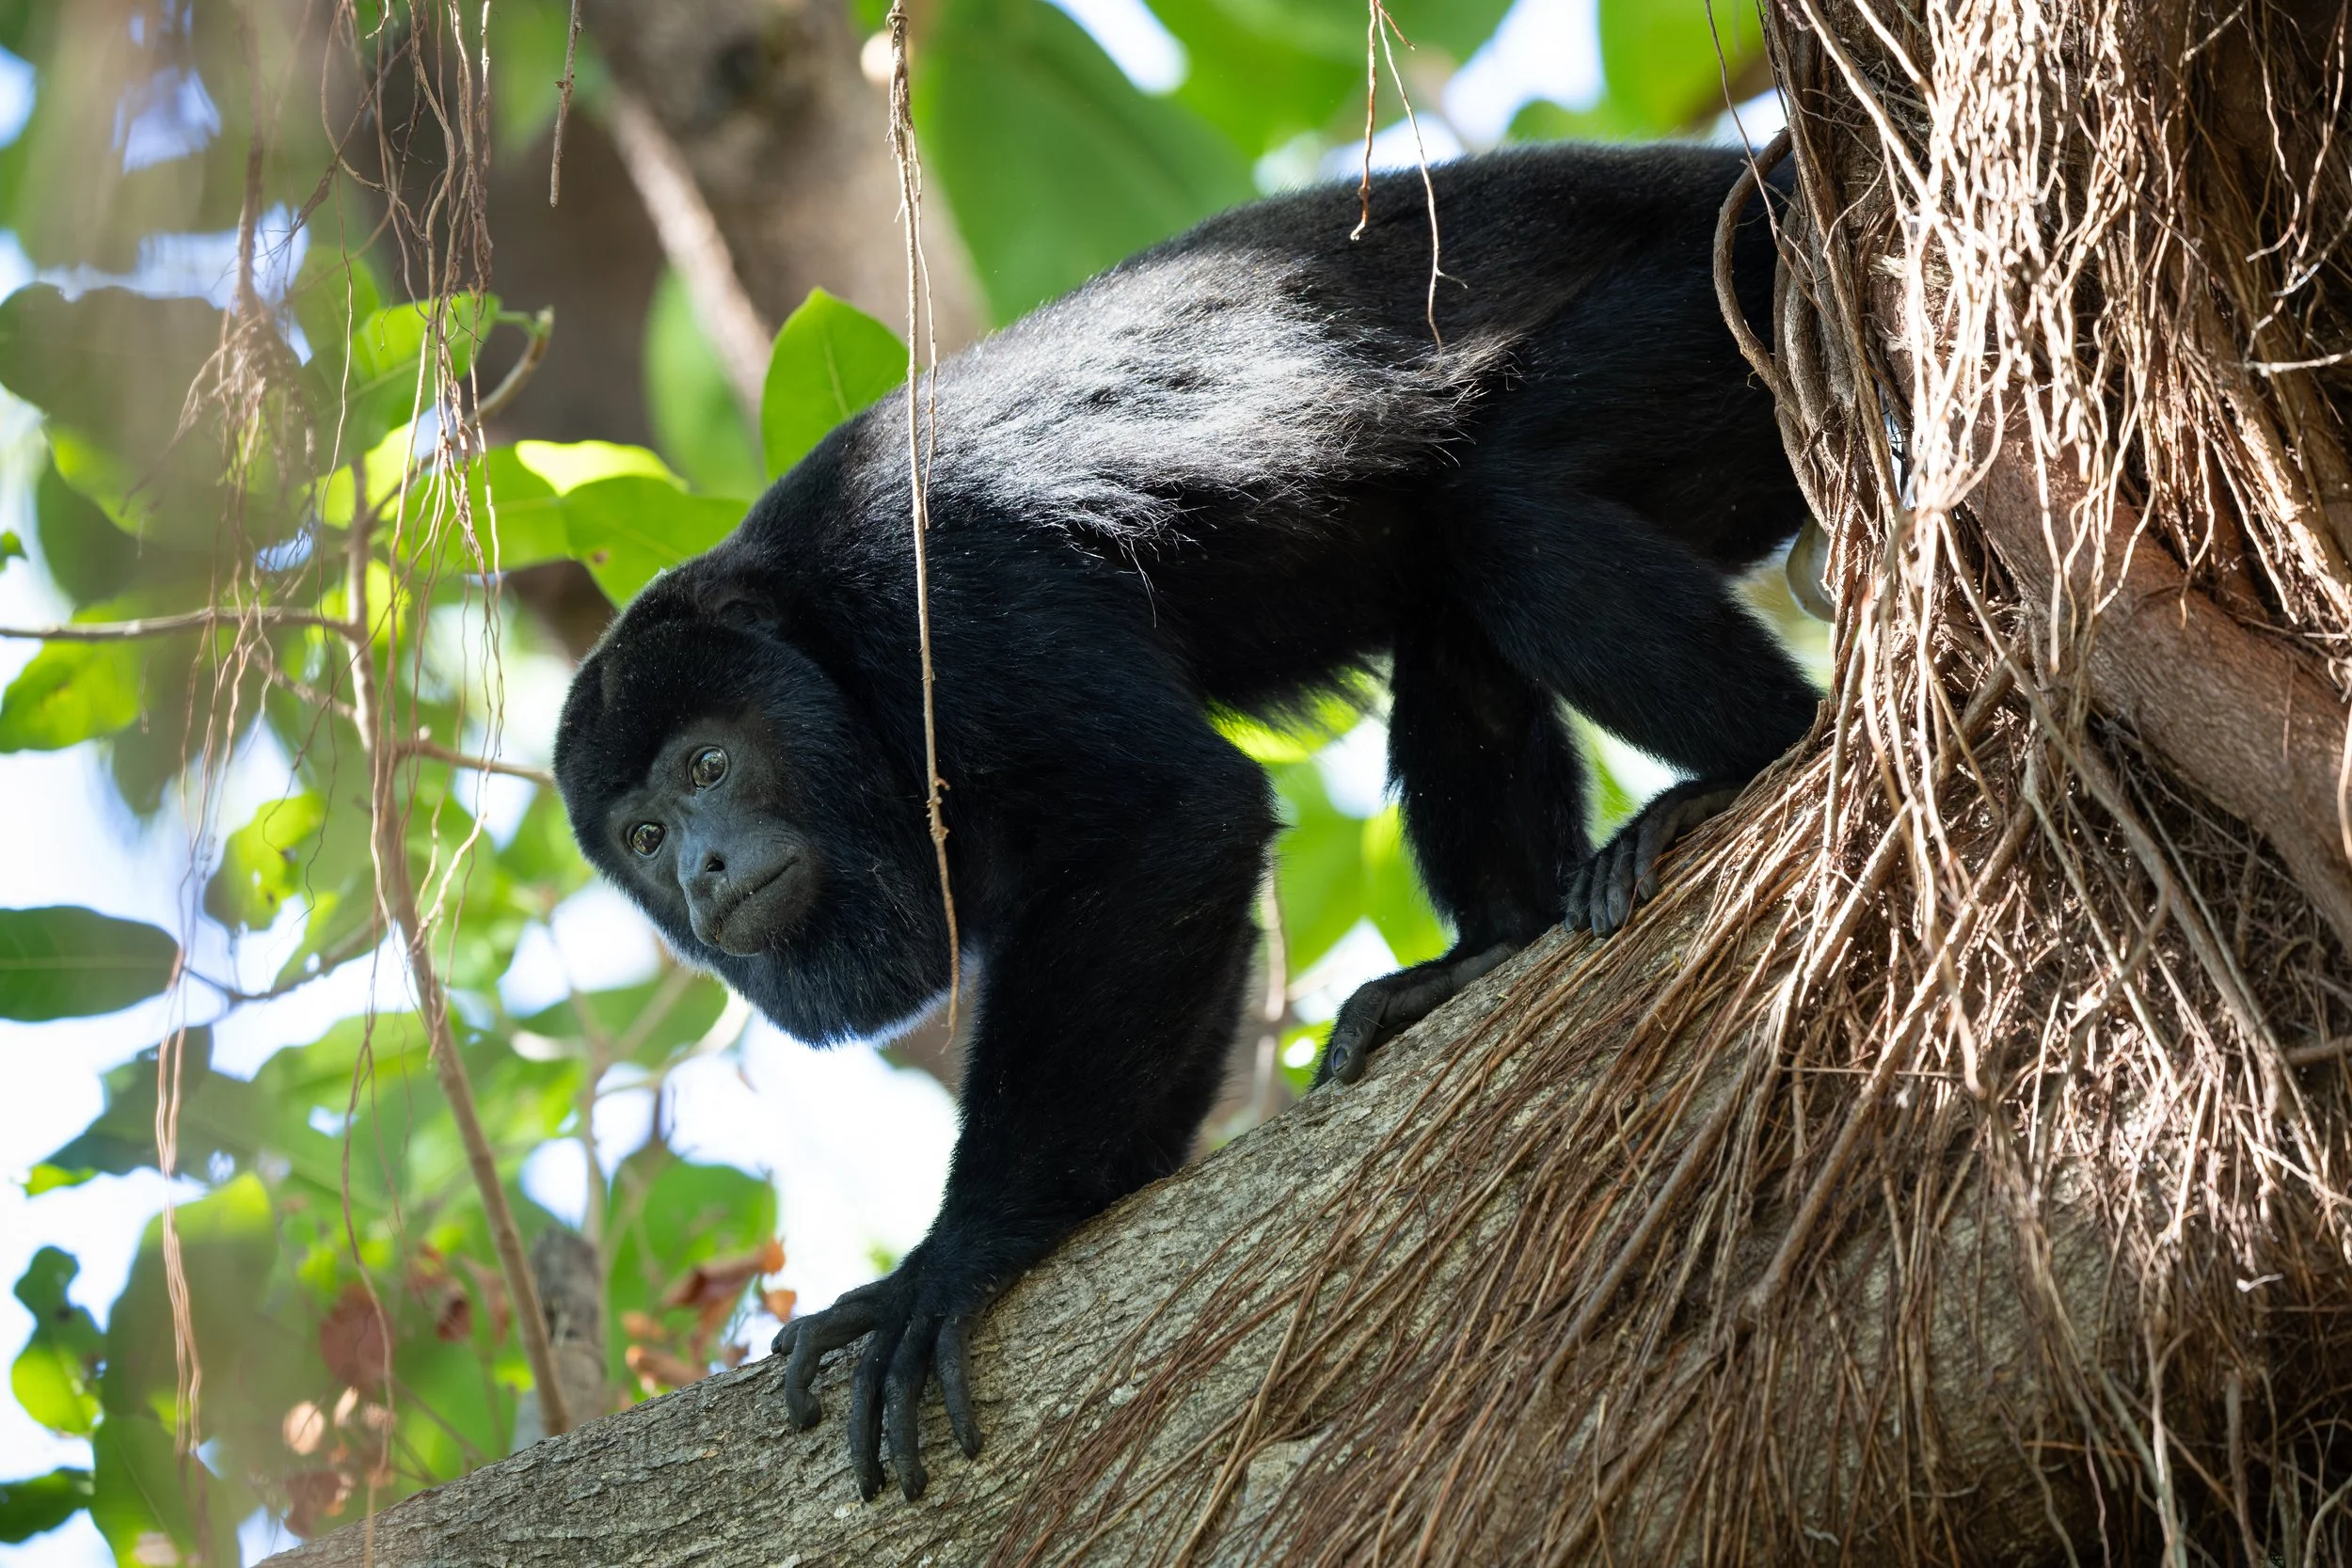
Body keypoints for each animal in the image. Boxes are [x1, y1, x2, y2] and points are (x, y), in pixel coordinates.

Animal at [553, 141, 1816, 1502]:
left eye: (708, 764)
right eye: (641, 837)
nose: (703, 868)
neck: (814, 638)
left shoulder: (934, 586)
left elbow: (1172, 817)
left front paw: (954, 1256)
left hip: (1719, 303)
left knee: (1509, 511)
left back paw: (1748, 769)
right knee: (1451, 580)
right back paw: (1493, 943)